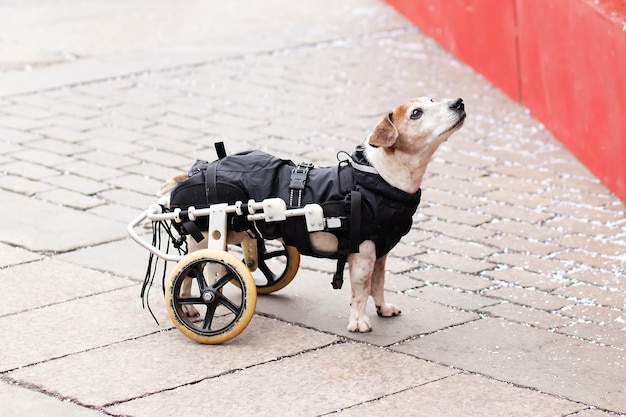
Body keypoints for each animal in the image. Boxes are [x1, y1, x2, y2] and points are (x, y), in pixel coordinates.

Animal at [161, 96, 464, 332]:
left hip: (236, 231)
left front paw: (383, 307)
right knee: (190, 272)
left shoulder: (380, 252)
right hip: (204, 239)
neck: (378, 178)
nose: (459, 102)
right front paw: (359, 321)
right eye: (416, 113)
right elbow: (361, 290)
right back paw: (190, 307)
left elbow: (378, 284)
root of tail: (196, 172)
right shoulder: (363, 254)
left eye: (432, 99)